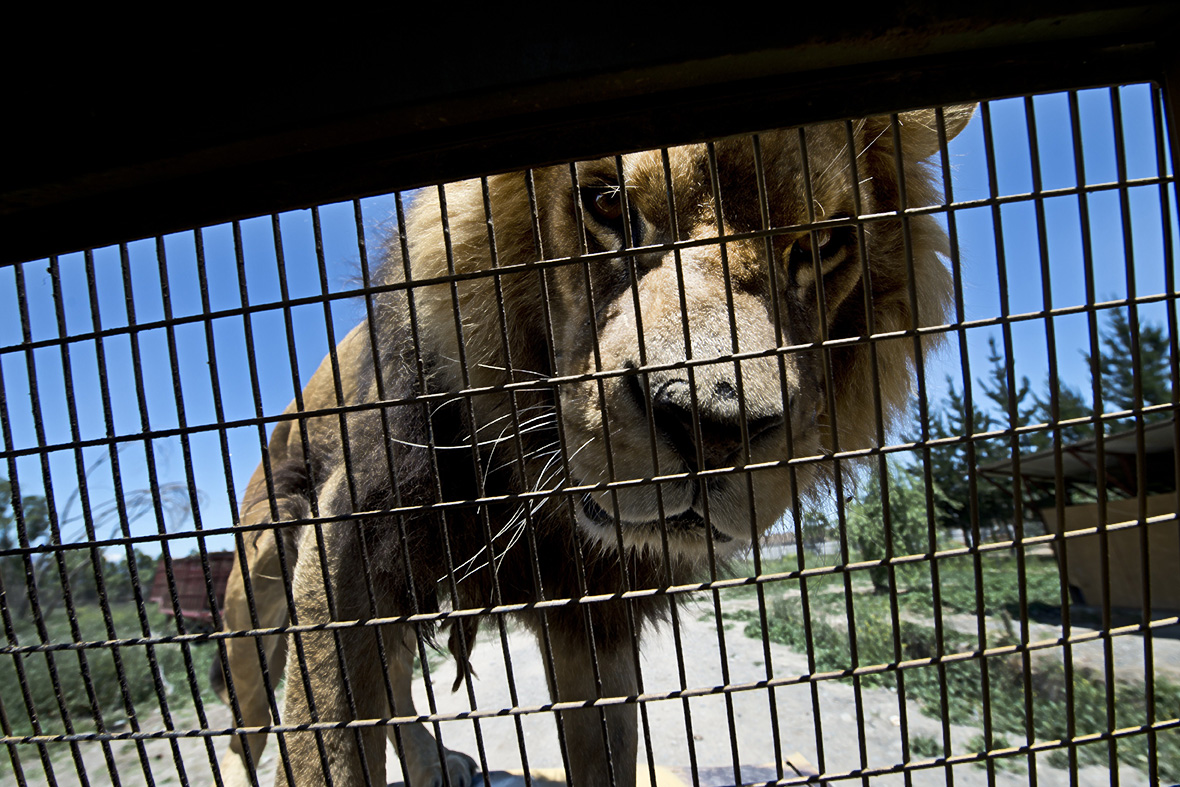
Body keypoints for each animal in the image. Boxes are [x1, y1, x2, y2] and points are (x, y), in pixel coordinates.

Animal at [210, 106, 967, 787]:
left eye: (825, 243)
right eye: (607, 202)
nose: (712, 426)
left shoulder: (597, 614)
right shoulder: (353, 540)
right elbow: (326, 746)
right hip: (257, 584)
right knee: (247, 720)